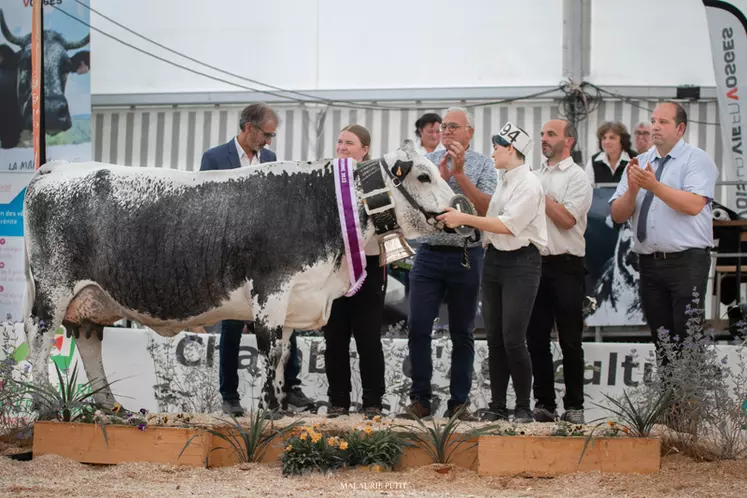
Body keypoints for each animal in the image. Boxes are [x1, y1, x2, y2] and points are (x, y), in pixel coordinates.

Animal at [21, 139, 456, 408]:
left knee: (87, 342)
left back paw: (109, 408)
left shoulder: (294, 299)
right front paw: (266, 409)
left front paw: (280, 407)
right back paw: (45, 407)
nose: (459, 205)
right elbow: (271, 351)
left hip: (90, 298)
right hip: (53, 289)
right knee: (39, 342)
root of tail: (58, 168)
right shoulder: (271, 291)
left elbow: (286, 355)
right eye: (423, 176)